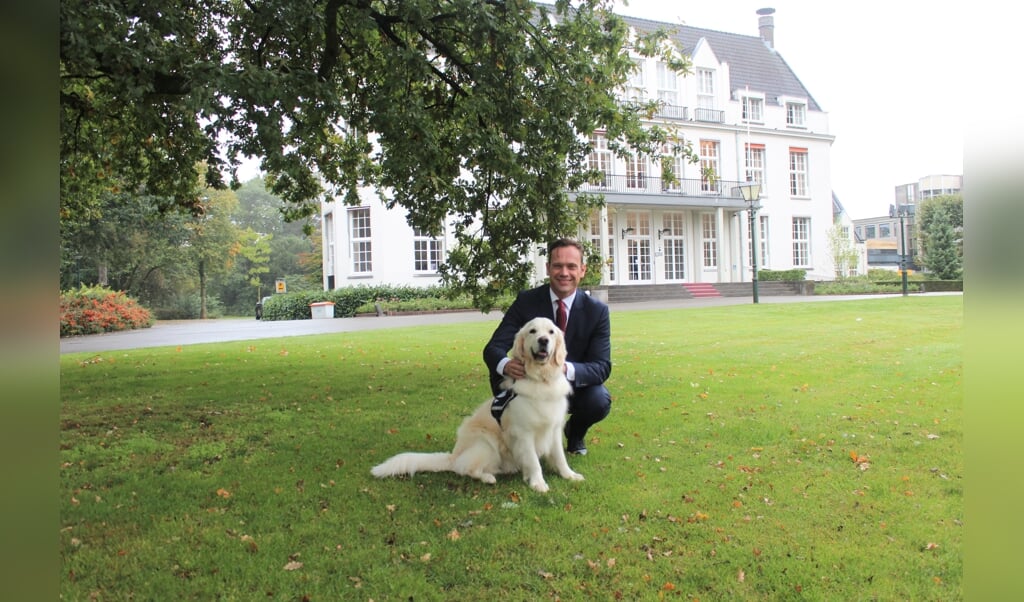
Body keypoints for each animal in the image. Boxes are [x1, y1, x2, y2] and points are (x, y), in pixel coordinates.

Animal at [374, 317, 585, 491]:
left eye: (551, 332)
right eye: (533, 331)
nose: (543, 340)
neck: (541, 380)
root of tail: (453, 456)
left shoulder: (554, 429)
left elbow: (560, 457)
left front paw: (569, 475)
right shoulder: (523, 433)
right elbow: (533, 461)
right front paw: (538, 483)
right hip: (486, 443)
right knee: (466, 469)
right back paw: (487, 477)